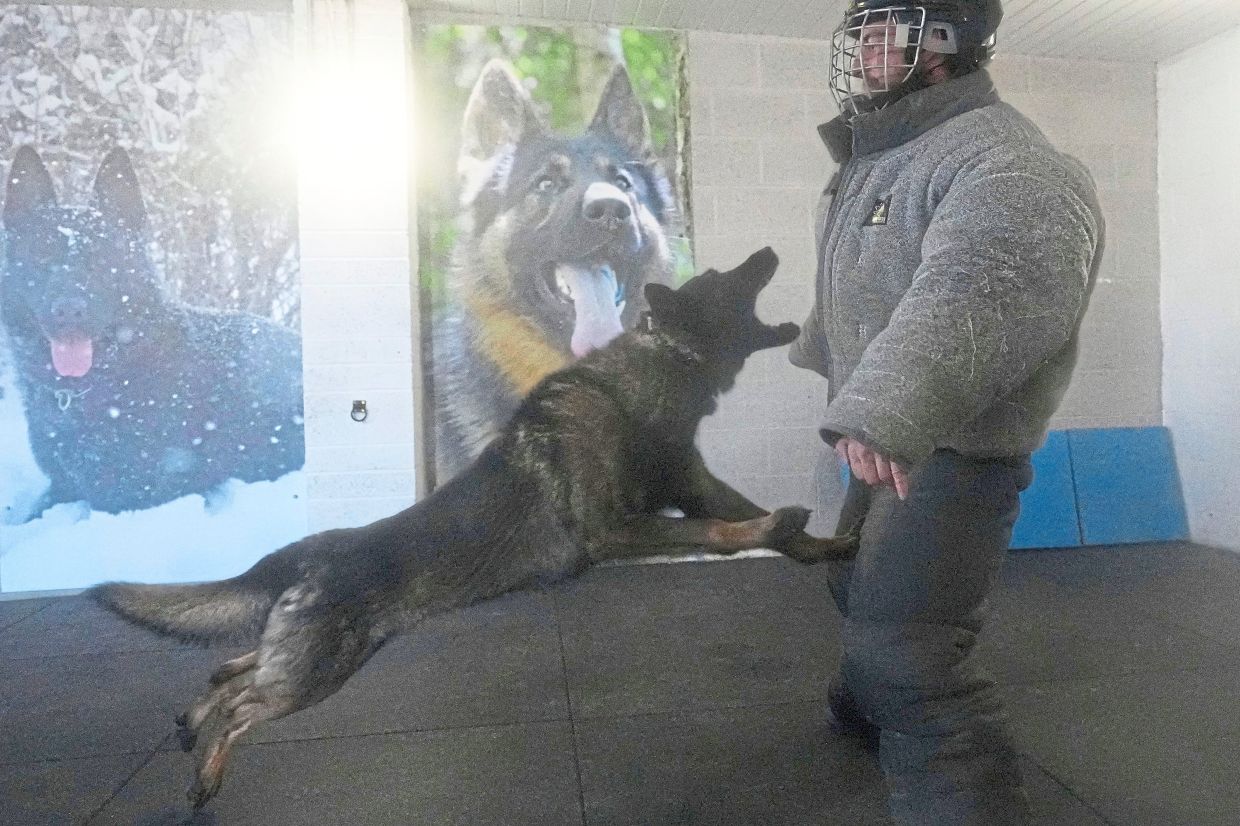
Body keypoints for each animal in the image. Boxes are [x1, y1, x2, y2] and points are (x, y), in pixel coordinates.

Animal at [91, 247, 861, 809]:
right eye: (724, 279)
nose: (766, 251)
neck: (643, 378)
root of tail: (305, 554)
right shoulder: (616, 531)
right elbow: (726, 535)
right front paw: (777, 528)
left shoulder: (697, 490)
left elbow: (772, 530)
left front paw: (824, 542)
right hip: (310, 679)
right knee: (243, 707)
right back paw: (207, 770)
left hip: (322, 662)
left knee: (231, 675)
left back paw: (195, 719)